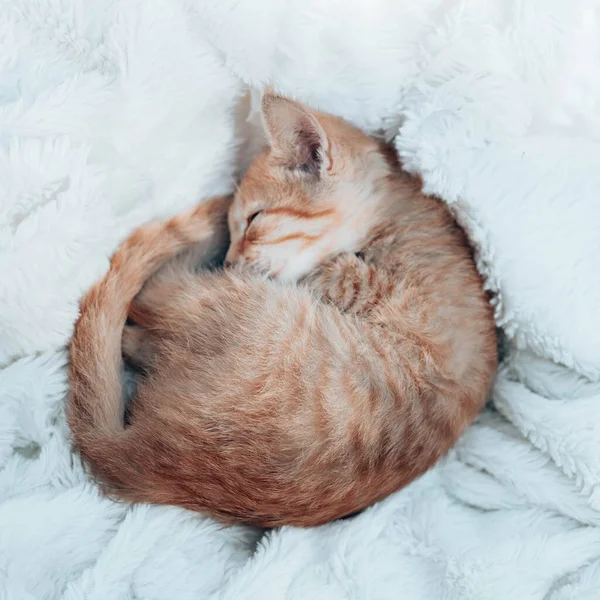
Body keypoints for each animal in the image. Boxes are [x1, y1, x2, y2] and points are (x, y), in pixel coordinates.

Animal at [68, 92, 496, 524]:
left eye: (254, 219)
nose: (228, 264)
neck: (393, 215)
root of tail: (142, 459)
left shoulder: (409, 307)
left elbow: (341, 273)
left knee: (149, 297)